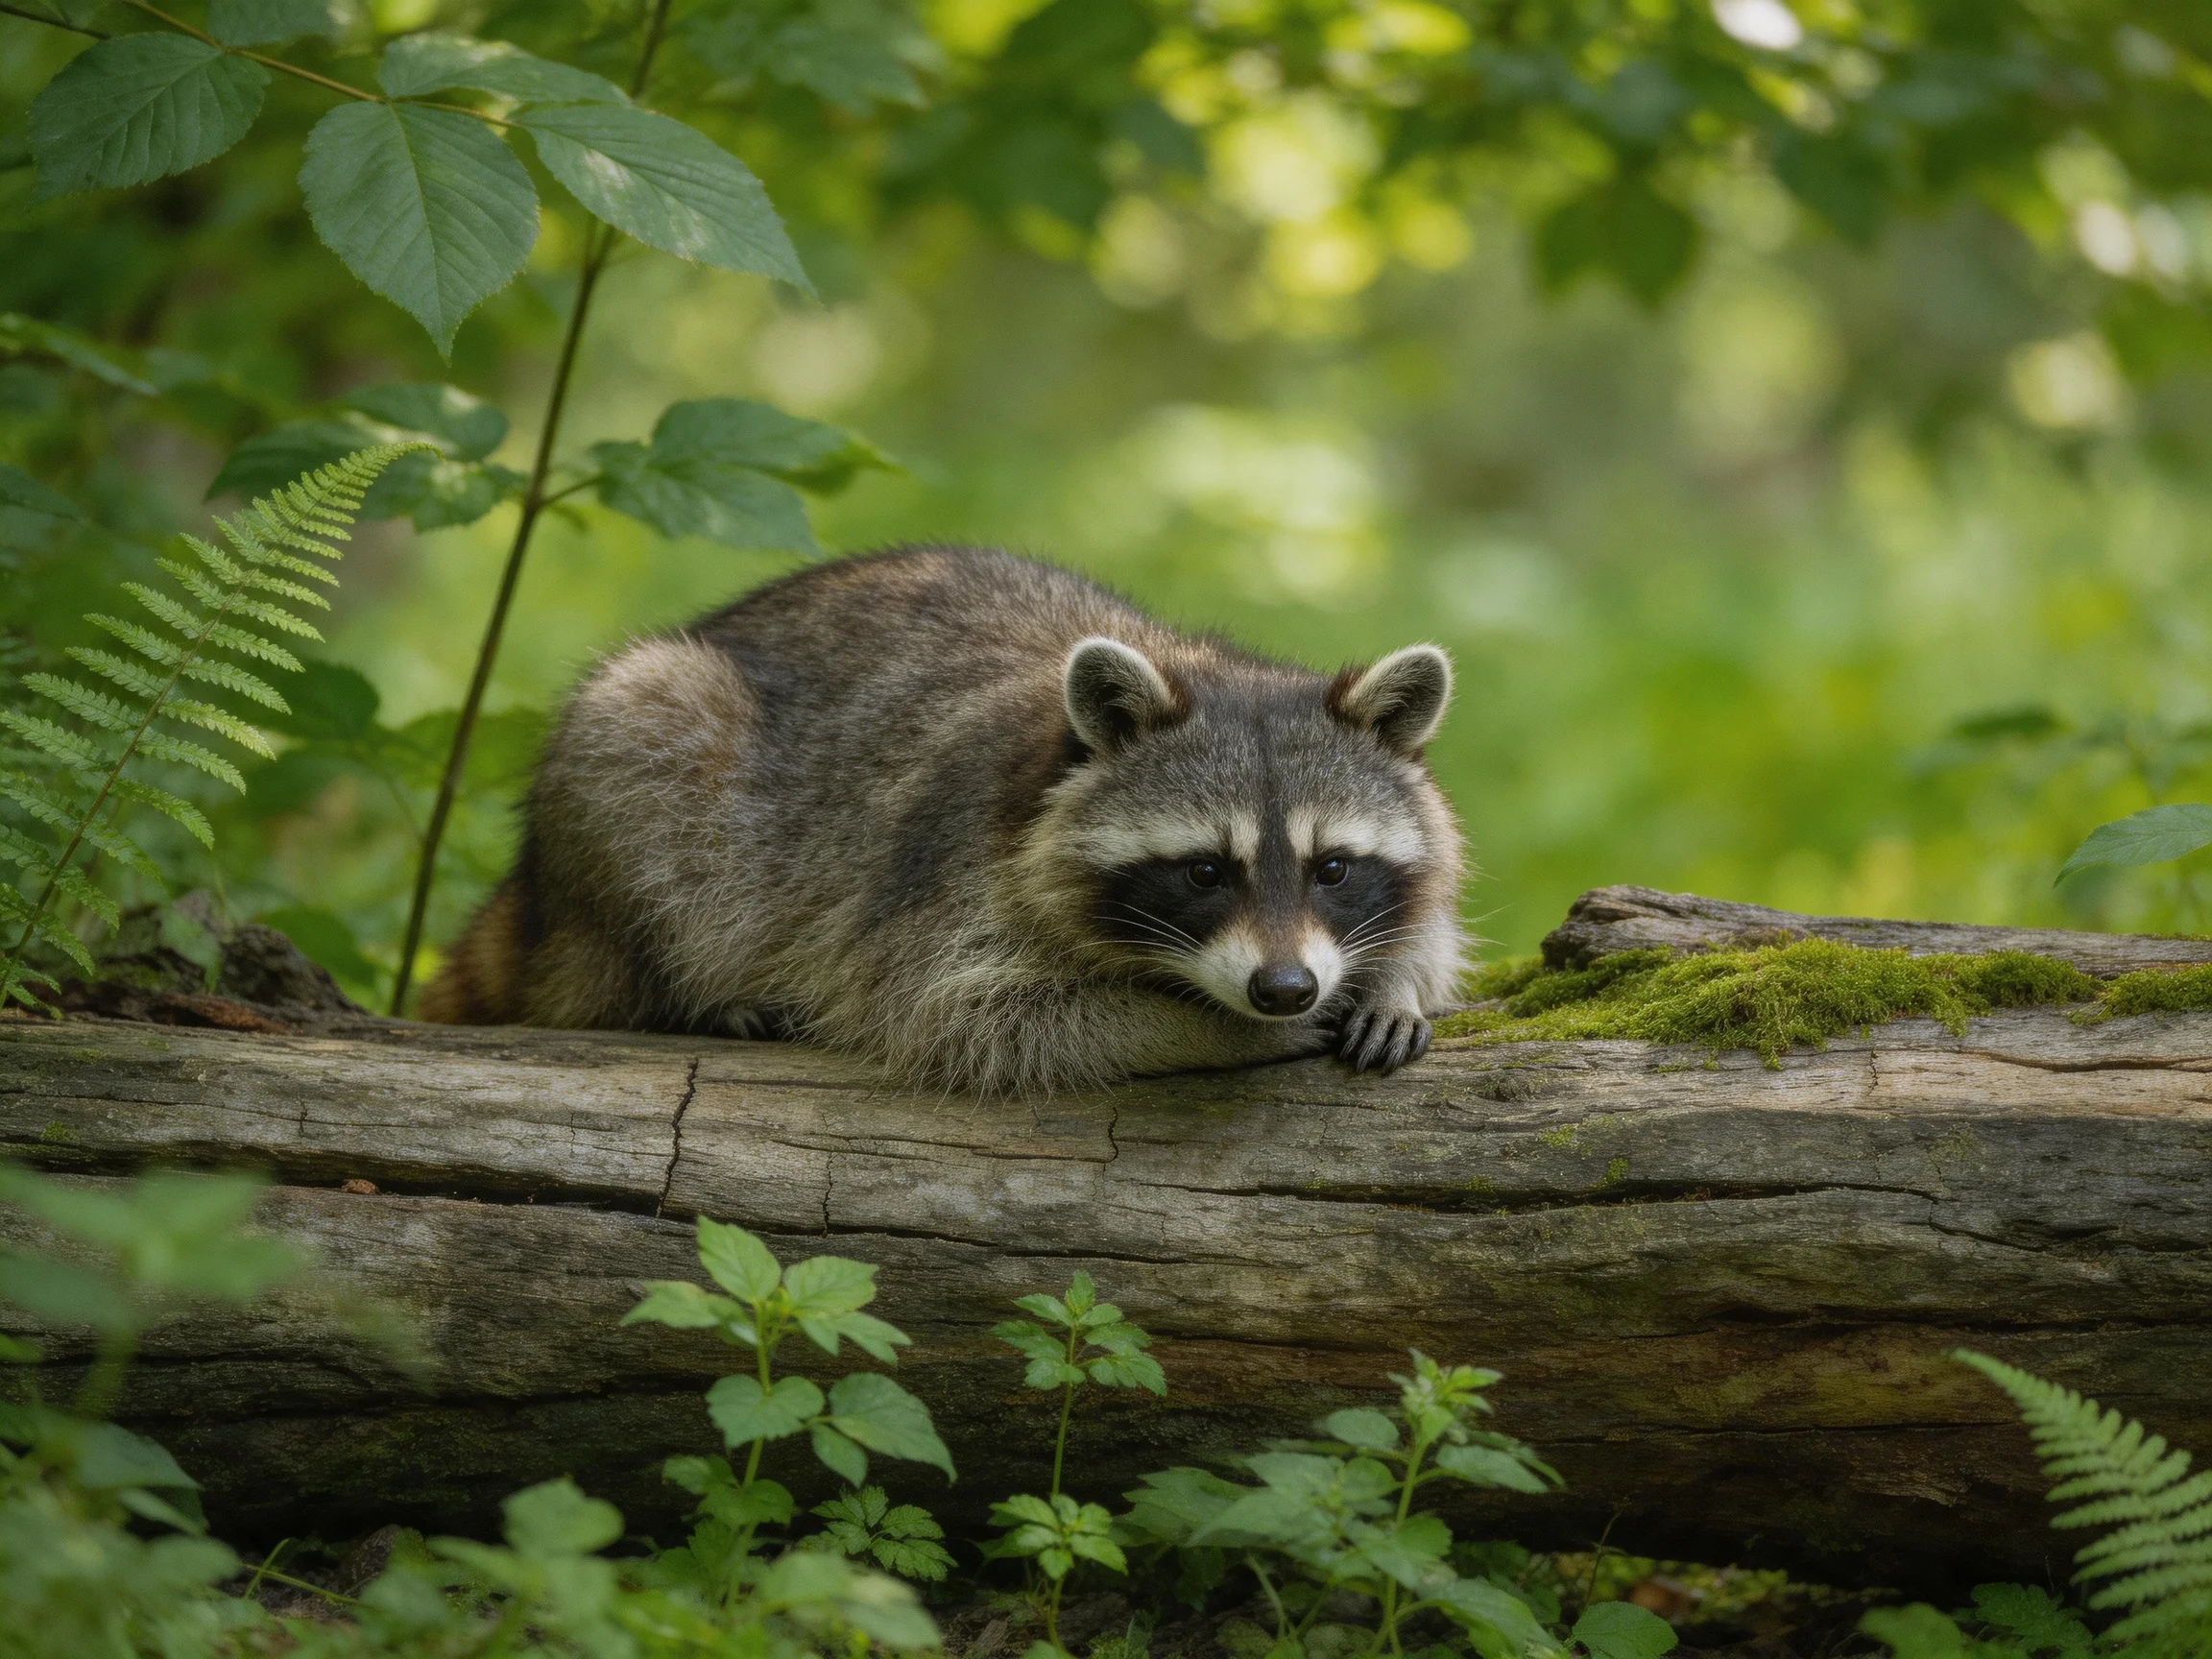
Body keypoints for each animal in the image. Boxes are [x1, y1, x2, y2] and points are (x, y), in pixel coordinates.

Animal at [421, 546, 1466, 1095]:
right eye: (1206, 871)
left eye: (1333, 868)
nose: (1285, 990)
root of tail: (536, 890)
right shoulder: (947, 887)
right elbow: (983, 1025)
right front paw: (1229, 1031)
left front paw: (1392, 980)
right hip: (635, 760)